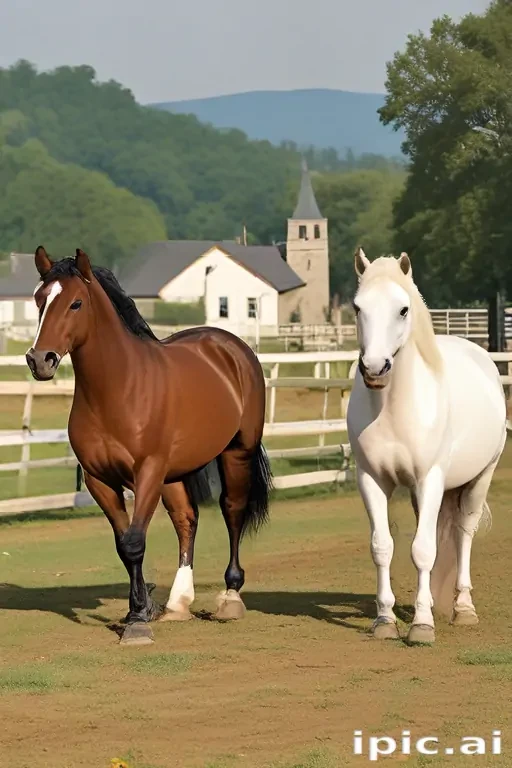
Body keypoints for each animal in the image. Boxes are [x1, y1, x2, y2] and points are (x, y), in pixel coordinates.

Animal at [26, 246, 272, 646]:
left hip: (236, 452)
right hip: (175, 474)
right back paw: (178, 603)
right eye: (39, 300)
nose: (39, 360)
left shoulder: (148, 472)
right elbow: (124, 545)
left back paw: (231, 597)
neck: (118, 390)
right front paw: (139, 609)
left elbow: (134, 542)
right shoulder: (99, 480)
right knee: (186, 519)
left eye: (76, 303)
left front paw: (138, 620)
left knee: (232, 510)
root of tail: (231, 346)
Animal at [347, 248, 506, 645]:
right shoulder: (371, 480)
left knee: (464, 535)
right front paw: (385, 620)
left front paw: (421, 625)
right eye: (357, 307)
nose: (375, 368)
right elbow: (383, 546)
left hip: (480, 479)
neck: (393, 410)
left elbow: (422, 550)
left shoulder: (429, 479)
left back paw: (463, 608)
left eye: (403, 309)